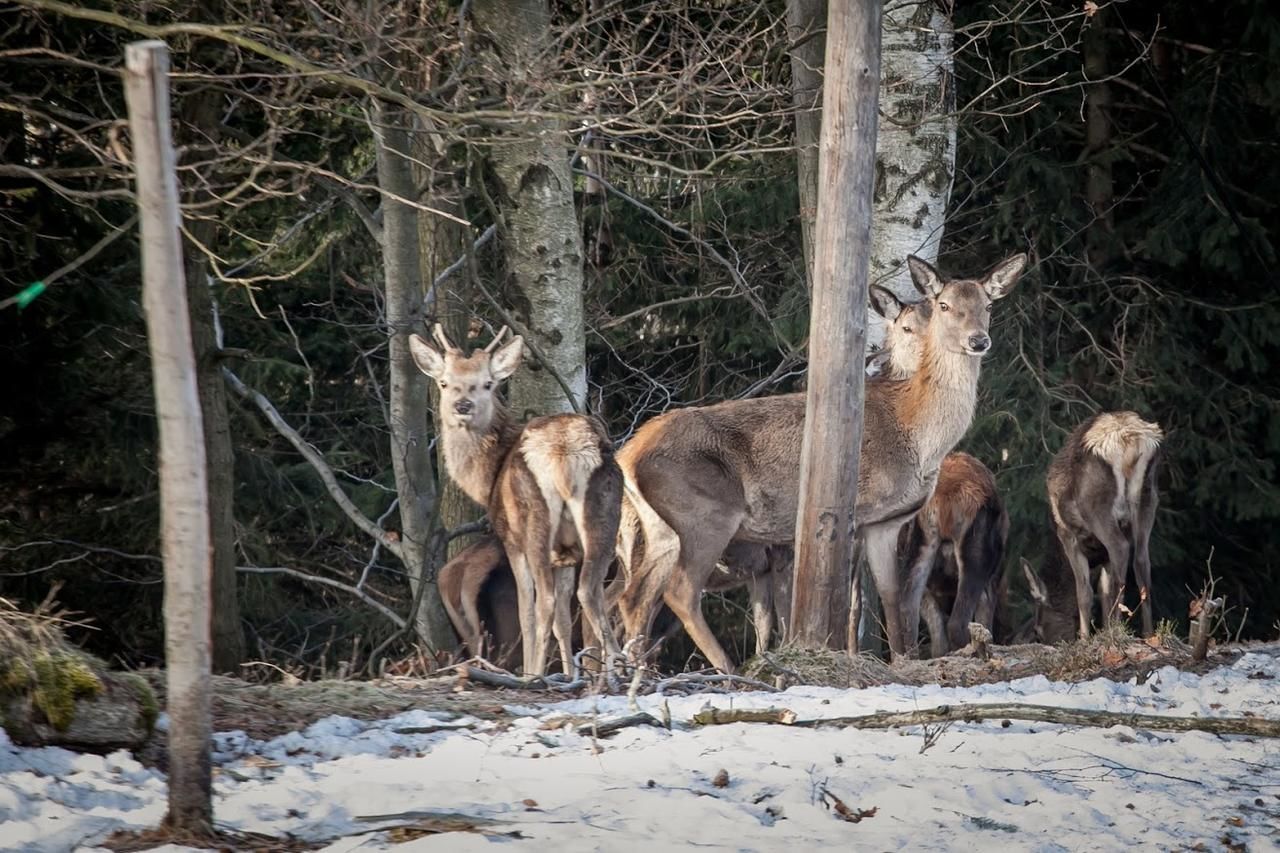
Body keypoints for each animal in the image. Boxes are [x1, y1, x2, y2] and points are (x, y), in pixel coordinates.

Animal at [409, 322, 624, 676]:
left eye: (488, 383)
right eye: (444, 382)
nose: (462, 405)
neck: (488, 476)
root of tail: (564, 451)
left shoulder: (512, 541)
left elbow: (529, 614)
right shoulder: (565, 554)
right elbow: (563, 621)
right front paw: (570, 674)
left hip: (534, 521)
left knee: (544, 603)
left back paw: (533, 675)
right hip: (604, 512)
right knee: (591, 592)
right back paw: (616, 671)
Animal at [614, 249, 1024, 666]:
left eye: (988, 305)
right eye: (944, 305)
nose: (978, 340)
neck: (916, 433)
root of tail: (628, 454)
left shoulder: (885, 523)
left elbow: (893, 601)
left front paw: (900, 660)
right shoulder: (854, 510)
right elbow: (848, 600)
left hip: (661, 527)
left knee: (634, 598)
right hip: (706, 512)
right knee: (678, 591)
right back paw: (726, 667)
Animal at [1024, 409, 1167, 637]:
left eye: (1038, 629)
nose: (1040, 637)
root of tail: (1129, 440)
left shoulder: (1069, 537)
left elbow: (1084, 592)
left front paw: (1084, 638)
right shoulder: (1103, 556)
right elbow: (1104, 591)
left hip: (1097, 507)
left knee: (1121, 549)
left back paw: (1117, 630)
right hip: (1148, 498)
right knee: (1141, 560)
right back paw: (1148, 634)